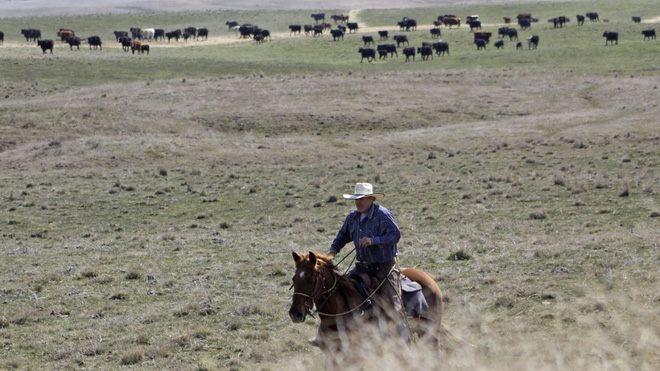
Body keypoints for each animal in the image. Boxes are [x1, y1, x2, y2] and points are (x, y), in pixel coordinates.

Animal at [288, 253, 448, 370]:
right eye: (294, 279)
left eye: (310, 280)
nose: (295, 314)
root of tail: (427, 276)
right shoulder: (332, 355)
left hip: (430, 331)